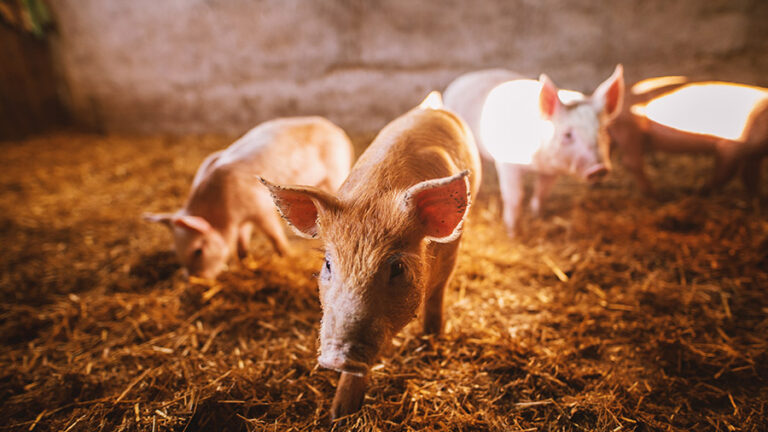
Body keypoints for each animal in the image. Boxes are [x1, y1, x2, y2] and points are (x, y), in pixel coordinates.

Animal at [144, 117, 354, 280]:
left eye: (198, 250)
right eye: (176, 252)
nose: (195, 280)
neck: (224, 214)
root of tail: (336, 130)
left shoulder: (260, 208)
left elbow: (273, 234)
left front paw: (285, 256)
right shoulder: (241, 220)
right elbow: (242, 238)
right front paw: (244, 258)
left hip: (335, 171)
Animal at [444, 66, 624, 238]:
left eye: (603, 131)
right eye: (567, 134)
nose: (600, 169)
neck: (538, 163)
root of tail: (470, 76)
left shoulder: (552, 171)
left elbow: (542, 193)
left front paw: (537, 216)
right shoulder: (507, 163)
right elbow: (515, 197)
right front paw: (513, 234)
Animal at [608, 78, 768, 197]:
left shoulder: (755, 154)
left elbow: (751, 178)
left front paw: (757, 199)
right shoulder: (731, 147)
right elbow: (725, 175)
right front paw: (700, 191)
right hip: (629, 131)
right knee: (631, 162)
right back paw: (656, 195)